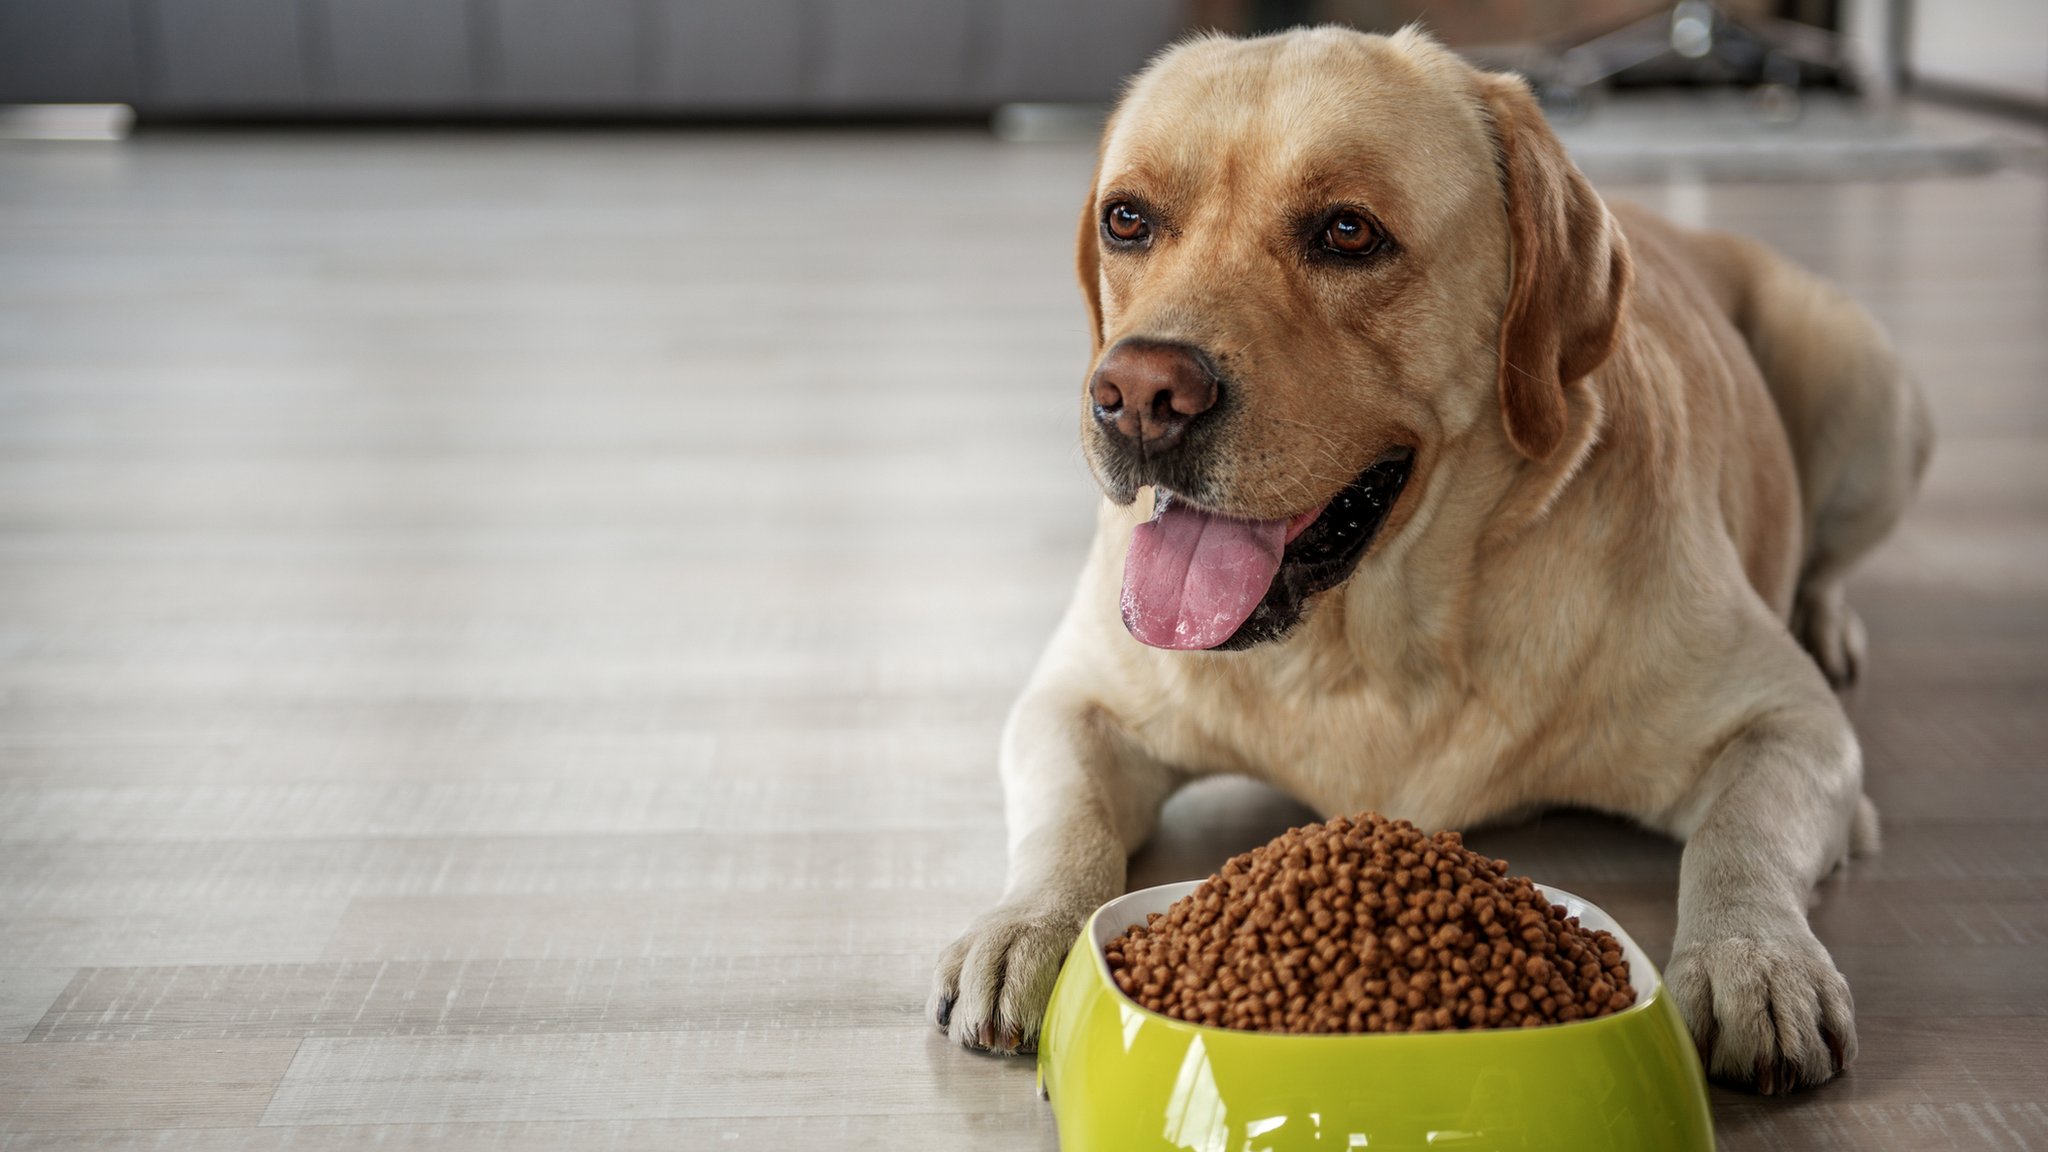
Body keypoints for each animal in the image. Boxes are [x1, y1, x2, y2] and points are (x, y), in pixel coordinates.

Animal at [937, 22, 1925, 1090]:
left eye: (1347, 233)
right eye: (1127, 219)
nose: (1139, 396)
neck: (1372, 648)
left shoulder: (1794, 727)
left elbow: (1737, 837)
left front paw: (1754, 959)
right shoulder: (1072, 700)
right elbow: (1067, 820)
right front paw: (1025, 928)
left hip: (1871, 390)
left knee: (1829, 559)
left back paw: (1826, 618)